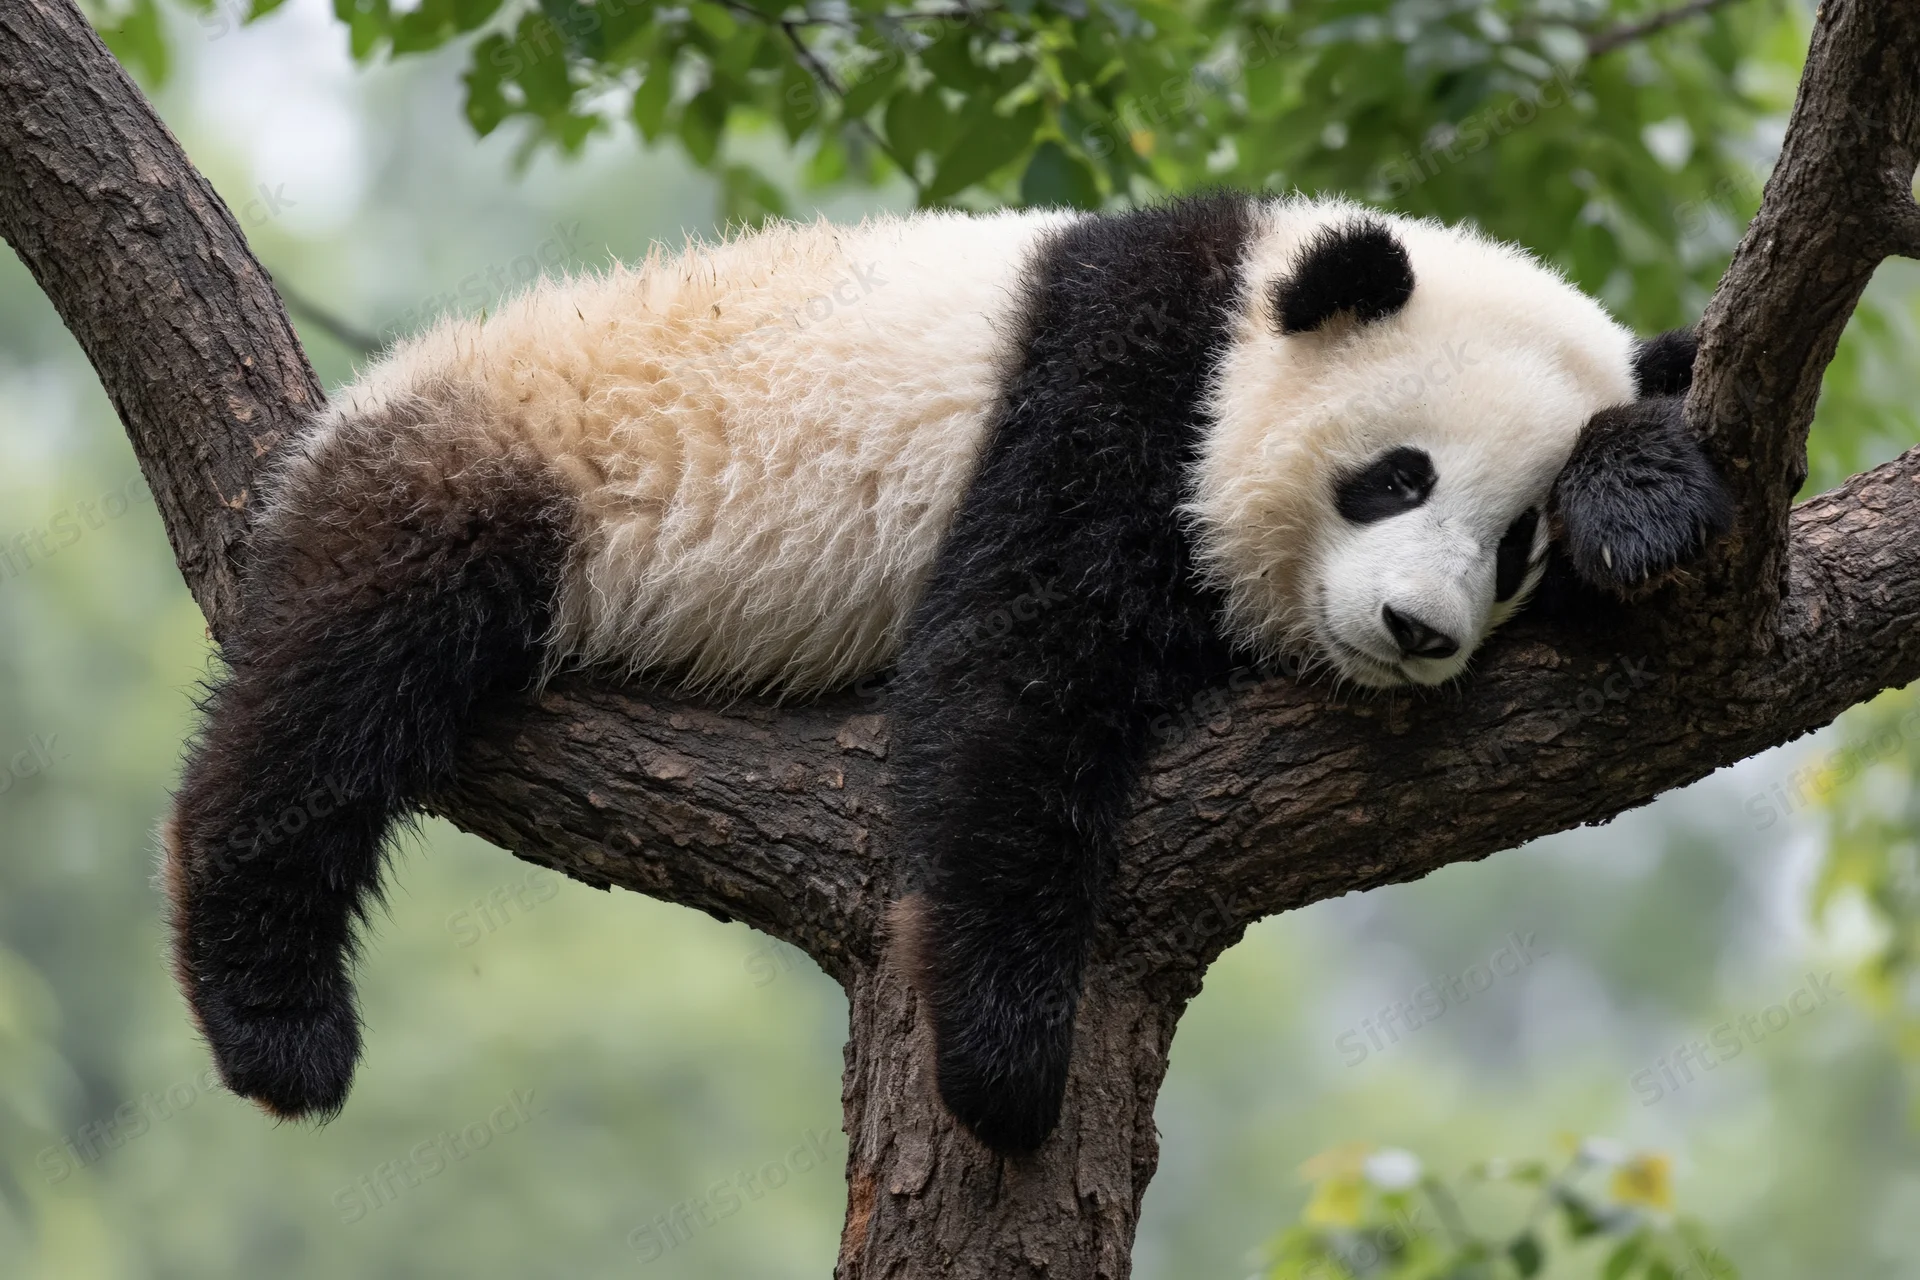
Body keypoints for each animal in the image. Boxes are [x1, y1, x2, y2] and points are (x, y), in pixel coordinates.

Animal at [162, 192, 1731, 1156]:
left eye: (1514, 545)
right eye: (1394, 477)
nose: (1417, 631)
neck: (1233, 312)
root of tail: (340, 428)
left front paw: (1637, 492)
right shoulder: (1105, 393)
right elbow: (1012, 675)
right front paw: (1003, 1059)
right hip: (502, 464)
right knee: (335, 694)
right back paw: (275, 1020)